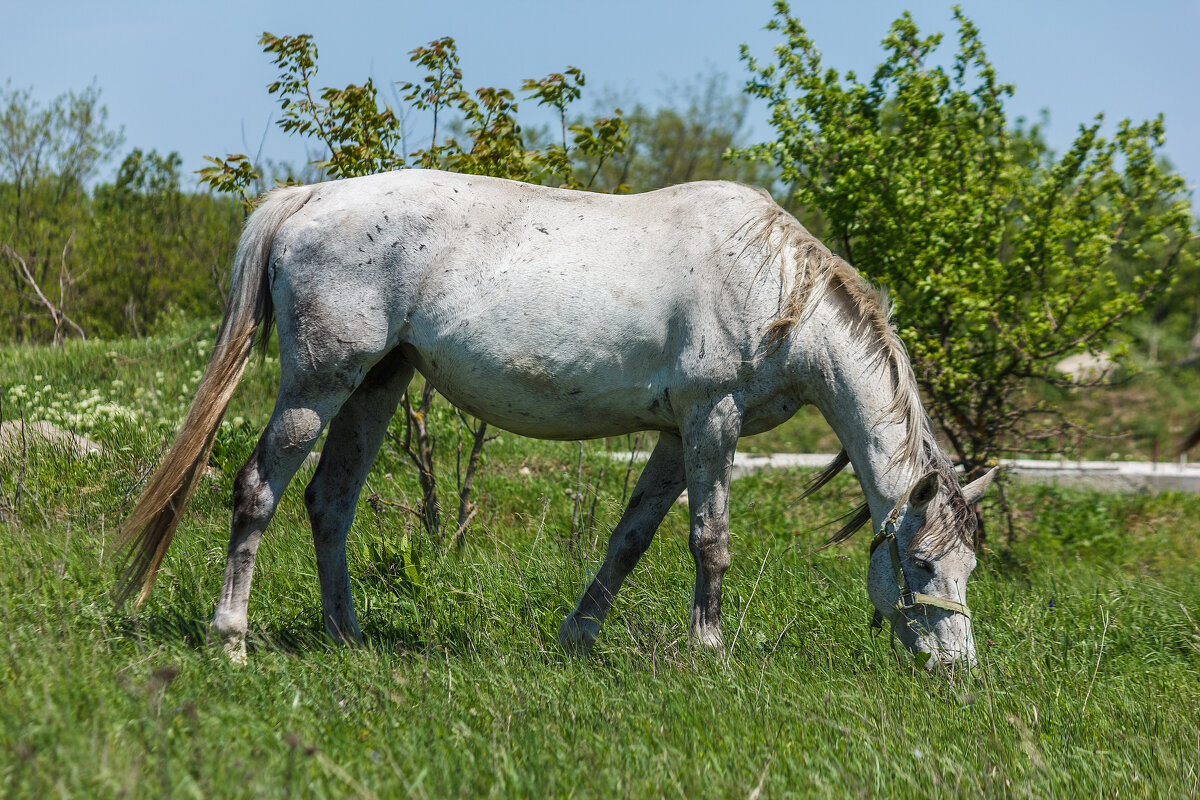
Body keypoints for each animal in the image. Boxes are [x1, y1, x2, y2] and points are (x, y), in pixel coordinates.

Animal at [114, 170, 993, 671]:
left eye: (968, 568)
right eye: (920, 565)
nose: (956, 667)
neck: (776, 289)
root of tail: (307, 199)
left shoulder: (675, 434)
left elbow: (631, 539)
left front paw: (577, 638)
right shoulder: (712, 420)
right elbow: (709, 541)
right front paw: (709, 654)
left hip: (378, 383)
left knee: (330, 503)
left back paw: (346, 637)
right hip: (318, 383)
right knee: (258, 489)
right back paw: (231, 638)